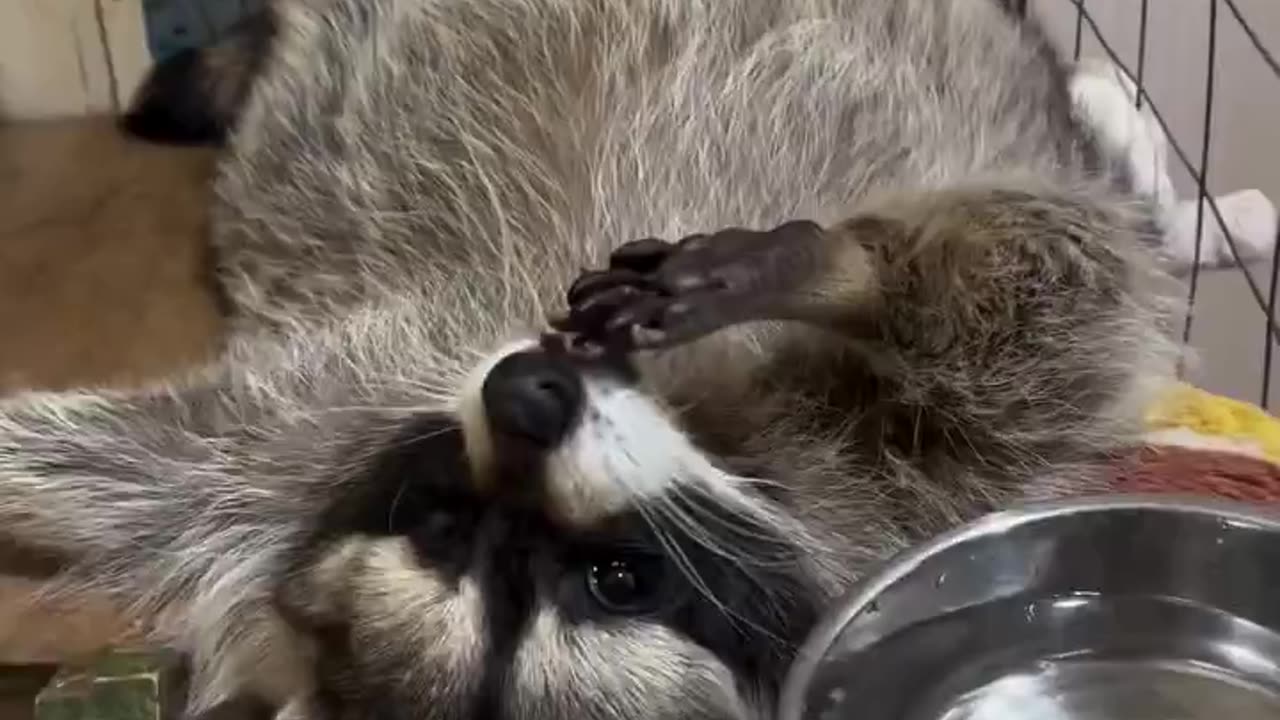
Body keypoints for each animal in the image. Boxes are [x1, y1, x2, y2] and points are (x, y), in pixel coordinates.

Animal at [4, 0, 1179, 718]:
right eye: (449, 529)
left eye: (616, 581)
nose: (527, 396)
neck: (703, 435)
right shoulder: (319, 428)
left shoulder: (902, 467)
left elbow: (1052, 295)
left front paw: (825, 266)